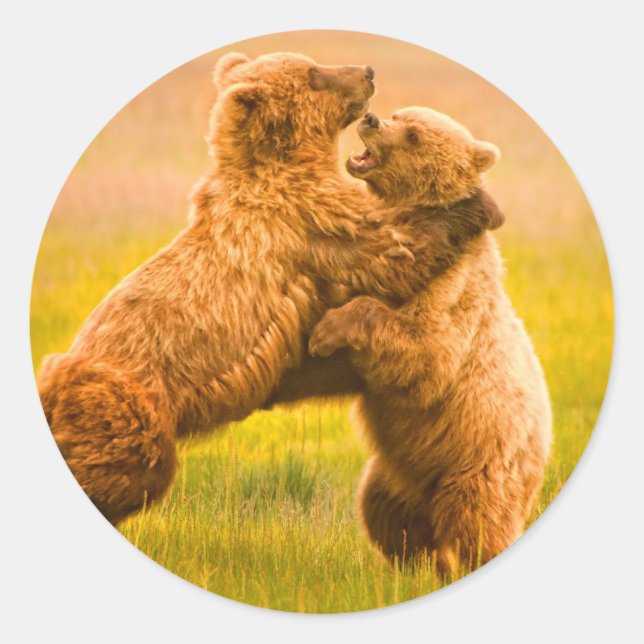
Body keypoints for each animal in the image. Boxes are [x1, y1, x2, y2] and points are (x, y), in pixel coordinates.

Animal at [37, 53, 445, 526]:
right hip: (129, 407)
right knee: (124, 471)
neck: (281, 166)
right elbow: (391, 253)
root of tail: (53, 379)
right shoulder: (310, 221)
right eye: (314, 75)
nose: (367, 72)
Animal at [307, 107, 552, 575]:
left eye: (415, 136)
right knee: (384, 510)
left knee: (478, 522)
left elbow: (426, 352)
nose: (371, 119)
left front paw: (326, 331)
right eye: (399, 115)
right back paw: (416, 564)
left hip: (479, 460)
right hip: (398, 472)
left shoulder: (453, 291)